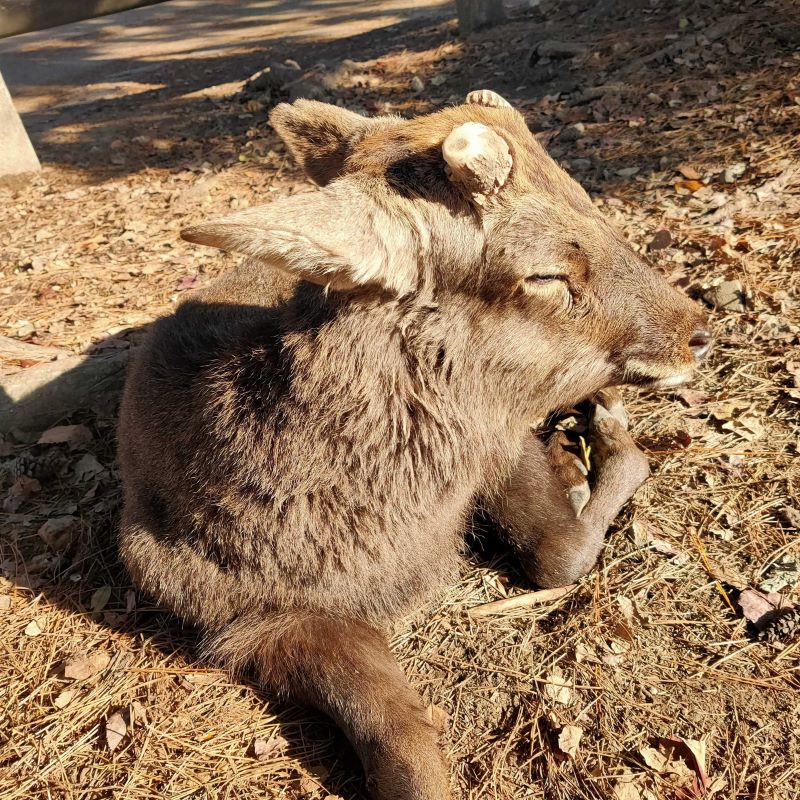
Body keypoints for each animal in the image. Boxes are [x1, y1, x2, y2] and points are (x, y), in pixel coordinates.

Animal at [115, 89, 708, 800]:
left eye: (592, 203)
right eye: (545, 273)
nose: (697, 331)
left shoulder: (492, 437)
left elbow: (557, 554)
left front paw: (600, 449)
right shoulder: (247, 620)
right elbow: (406, 753)